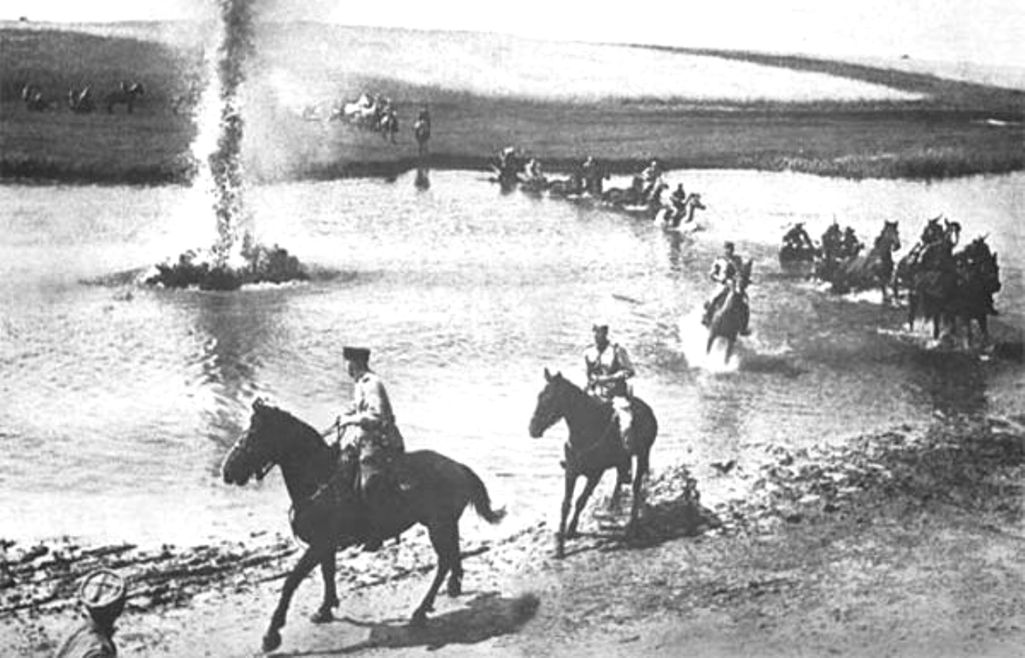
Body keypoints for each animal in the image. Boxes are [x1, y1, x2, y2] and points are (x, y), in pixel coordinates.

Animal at [221, 399, 506, 652]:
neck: (321, 477)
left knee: (444, 561)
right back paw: (454, 587)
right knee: (453, 554)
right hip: (444, 525)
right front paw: (325, 609)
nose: (226, 470)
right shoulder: (325, 545)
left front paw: (271, 635)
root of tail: (459, 467)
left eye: (253, 434)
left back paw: (420, 611)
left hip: (439, 527)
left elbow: (291, 582)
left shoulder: (319, 545)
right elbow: (327, 572)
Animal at [528, 370, 658, 559]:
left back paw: (632, 527)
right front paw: (561, 546)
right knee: (621, 478)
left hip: (643, 454)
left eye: (550, 398)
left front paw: (571, 530)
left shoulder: (596, 474)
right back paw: (613, 506)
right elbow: (566, 505)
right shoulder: (571, 472)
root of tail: (647, 409)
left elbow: (581, 501)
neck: (587, 429)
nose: (533, 428)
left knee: (636, 486)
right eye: (539, 396)